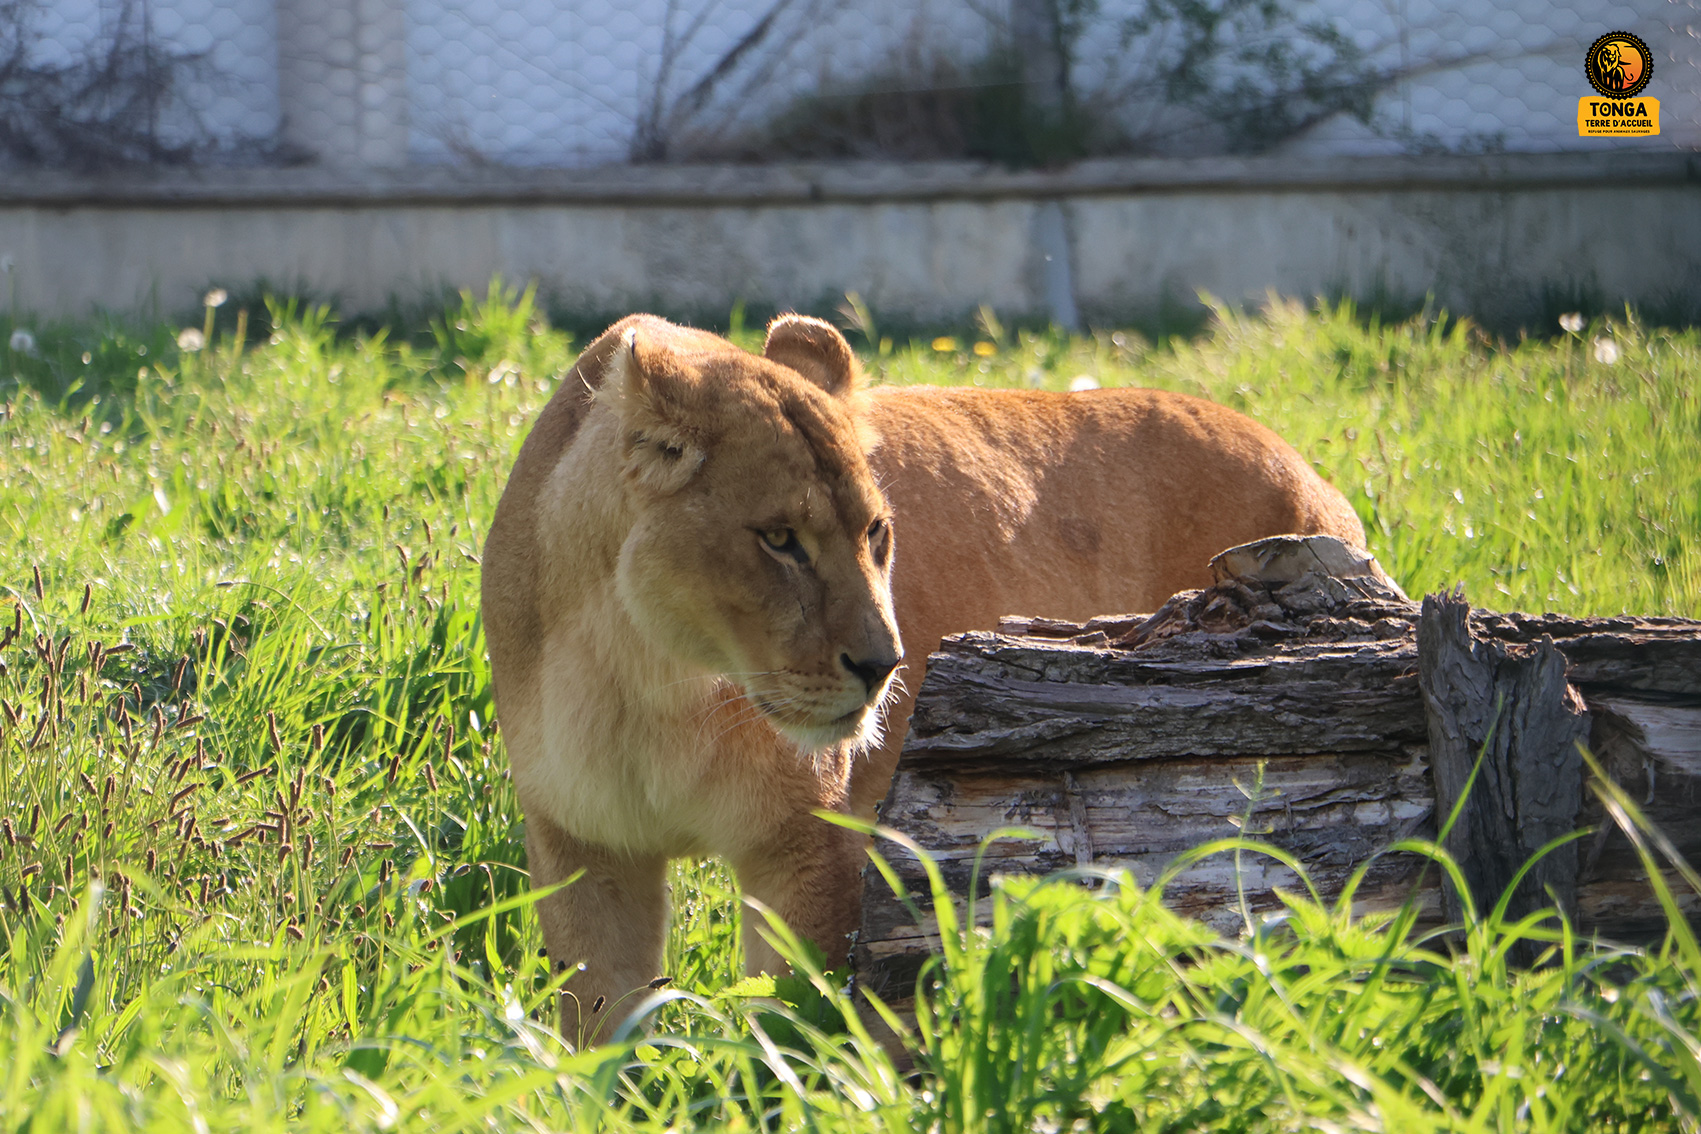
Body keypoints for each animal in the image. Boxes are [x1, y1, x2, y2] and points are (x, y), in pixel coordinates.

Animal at [481, 313, 1373, 1040]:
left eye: (876, 531)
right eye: (778, 539)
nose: (885, 667)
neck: (645, 672)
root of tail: (1305, 467)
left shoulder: (808, 843)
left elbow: (795, 1030)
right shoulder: (585, 847)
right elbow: (600, 1036)